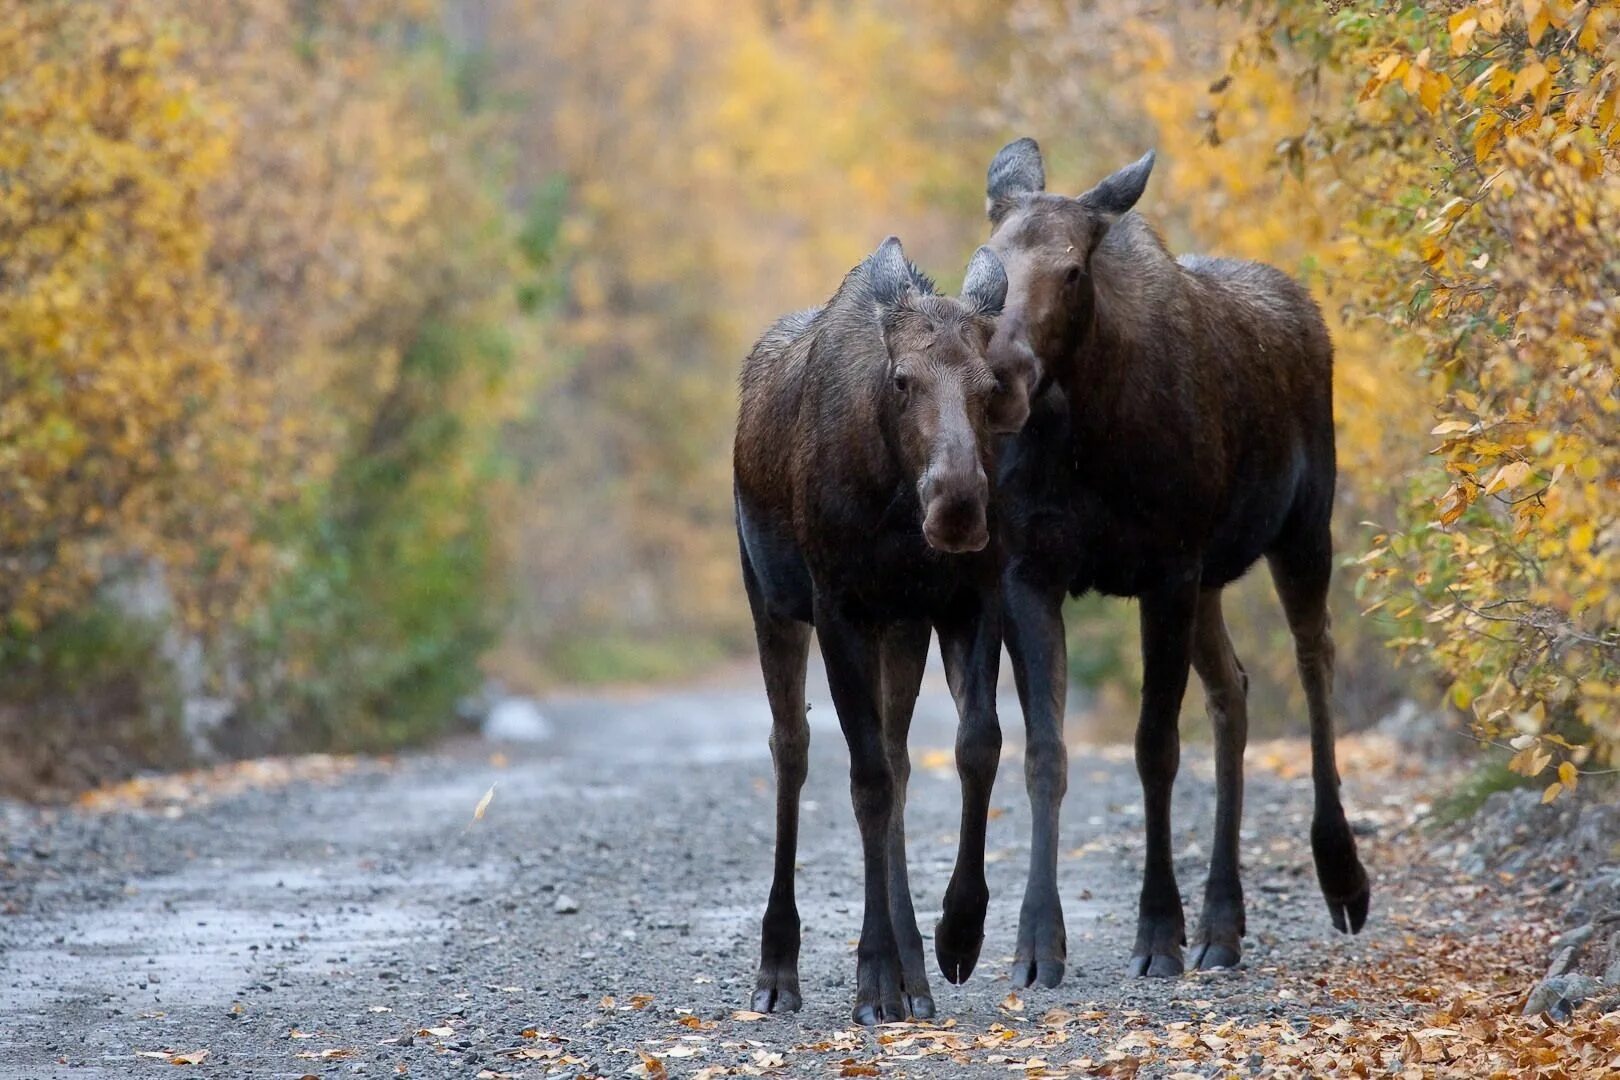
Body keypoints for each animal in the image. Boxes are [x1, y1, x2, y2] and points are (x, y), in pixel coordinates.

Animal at [735, 234, 1010, 1023]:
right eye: (902, 380)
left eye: (992, 386)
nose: (959, 506)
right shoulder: (840, 609)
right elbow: (865, 782)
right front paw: (873, 976)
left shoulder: (968, 600)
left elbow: (977, 746)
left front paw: (958, 932)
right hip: (770, 598)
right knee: (792, 749)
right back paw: (779, 968)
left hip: (902, 629)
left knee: (899, 755)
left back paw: (916, 972)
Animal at [978, 139, 1373, 984]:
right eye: (992, 260)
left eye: (1073, 270)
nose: (1007, 375)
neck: (1085, 434)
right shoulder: (1031, 573)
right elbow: (1045, 753)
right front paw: (1036, 943)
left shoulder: (1164, 570)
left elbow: (1154, 748)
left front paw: (1157, 930)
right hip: (1212, 577)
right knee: (1234, 691)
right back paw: (1224, 921)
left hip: (1301, 528)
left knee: (1315, 660)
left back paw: (1341, 875)